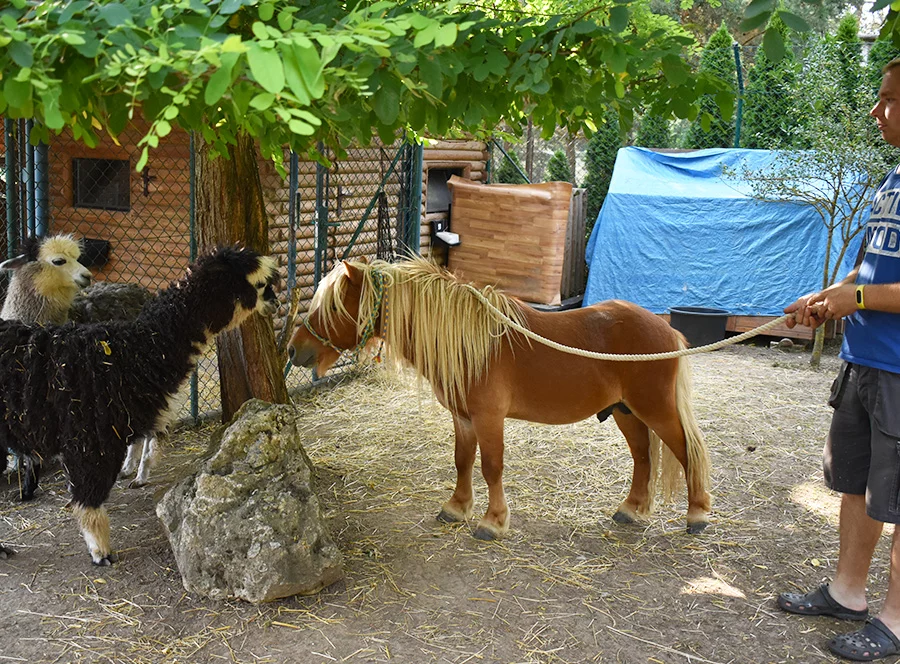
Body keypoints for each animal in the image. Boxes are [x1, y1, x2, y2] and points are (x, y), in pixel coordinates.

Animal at [292, 255, 712, 540]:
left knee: (687, 451)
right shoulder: (463, 418)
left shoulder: (488, 417)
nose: (295, 350)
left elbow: (491, 467)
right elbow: (462, 462)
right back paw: (631, 510)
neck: (469, 343)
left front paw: (493, 522)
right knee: (643, 457)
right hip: (627, 412)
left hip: (655, 410)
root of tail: (665, 328)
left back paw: (697, 515)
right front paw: (456, 508)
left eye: (332, 306)